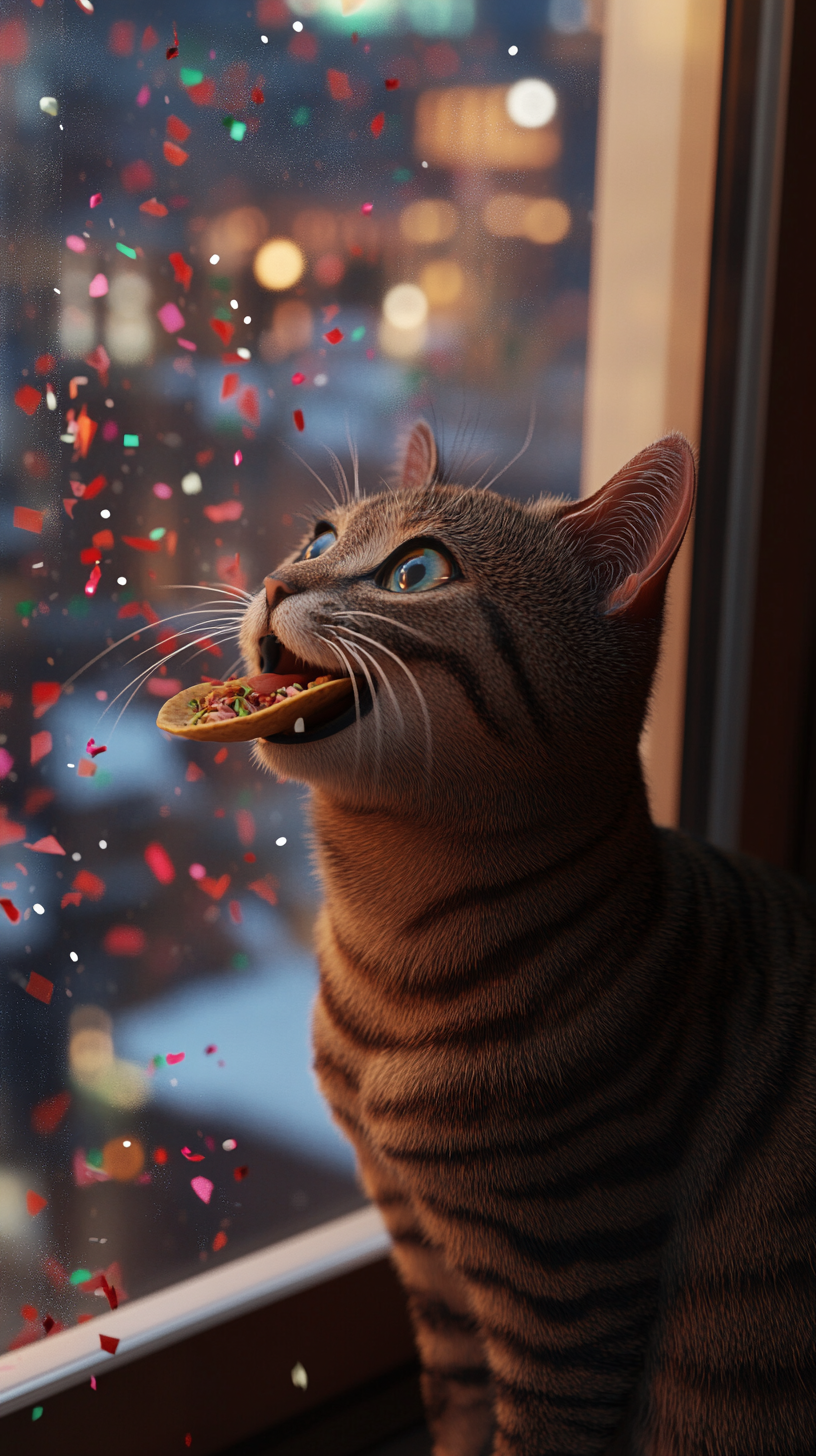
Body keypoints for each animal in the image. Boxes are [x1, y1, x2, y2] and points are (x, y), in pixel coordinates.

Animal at [237, 425, 816, 1456]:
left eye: (415, 572)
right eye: (318, 538)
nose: (272, 581)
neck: (383, 947)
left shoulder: (567, 1298)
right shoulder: (422, 1254)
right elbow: (456, 1410)